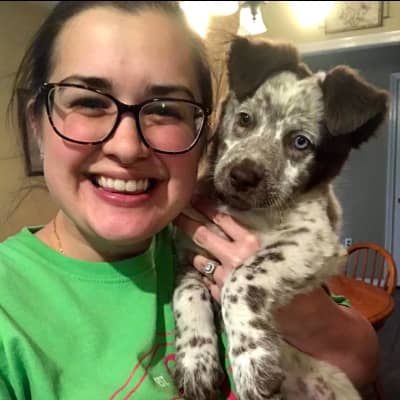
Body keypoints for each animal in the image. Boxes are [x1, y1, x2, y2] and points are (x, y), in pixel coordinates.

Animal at [172, 36, 389, 400]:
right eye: (245, 119)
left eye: (301, 142)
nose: (242, 176)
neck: (246, 213)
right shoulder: (193, 252)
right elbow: (186, 294)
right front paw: (195, 361)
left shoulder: (313, 242)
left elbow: (240, 279)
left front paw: (251, 362)